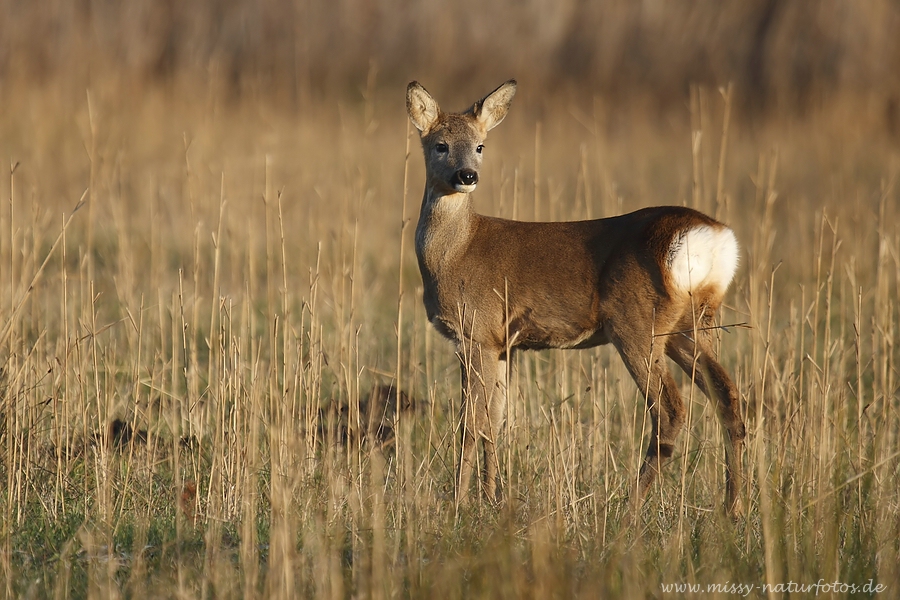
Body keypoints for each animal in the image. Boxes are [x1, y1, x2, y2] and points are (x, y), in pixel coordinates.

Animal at [408, 79, 744, 516]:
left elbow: (471, 424)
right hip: (692, 325)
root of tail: (713, 237)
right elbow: (495, 422)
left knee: (671, 408)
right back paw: (733, 509)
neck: (456, 252)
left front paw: (460, 504)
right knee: (729, 397)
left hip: (637, 323)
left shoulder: (475, 332)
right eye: (440, 144)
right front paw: (492, 500)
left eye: (480, 145)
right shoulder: (501, 344)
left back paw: (629, 509)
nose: (466, 175)